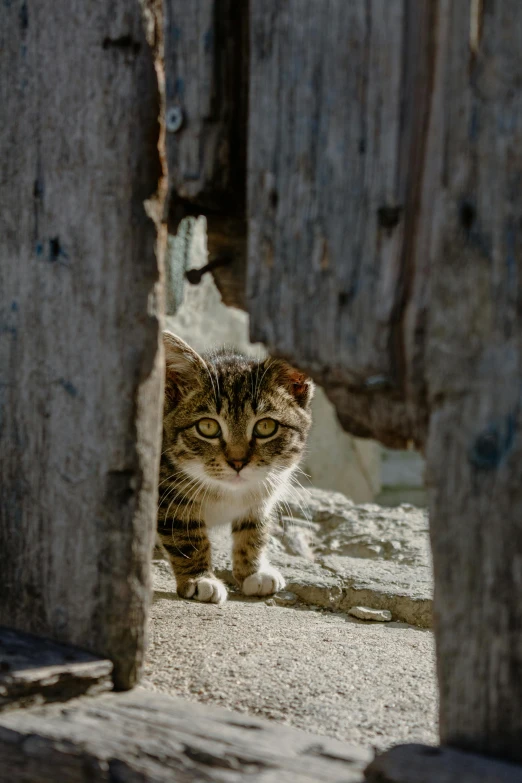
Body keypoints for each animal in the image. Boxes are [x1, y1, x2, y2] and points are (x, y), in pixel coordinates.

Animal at [156, 330, 312, 608]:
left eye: (266, 427)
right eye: (207, 427)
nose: (238, 462)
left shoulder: (266, 488)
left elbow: (255, 528)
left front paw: (253, 571)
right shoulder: (168, 490)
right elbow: (186, 534)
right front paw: (199, 580)